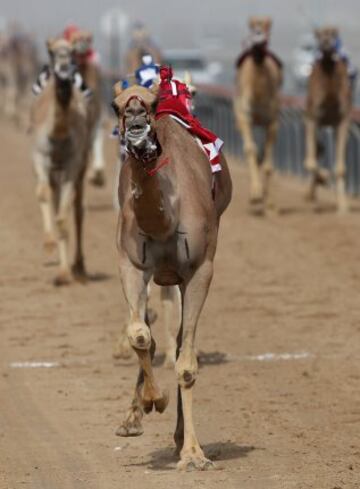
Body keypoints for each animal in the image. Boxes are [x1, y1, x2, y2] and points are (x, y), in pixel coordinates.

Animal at [111, 77, 232, 468]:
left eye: (151, 103)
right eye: (115, 105)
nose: (136, 123)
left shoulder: (199, 270)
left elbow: (187, 365)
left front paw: (193, 454)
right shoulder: (131, 264)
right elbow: (139, 335)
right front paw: (152, 401)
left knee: (181, 343)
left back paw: (180, 439)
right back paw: (135, 418)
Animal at [233, 16, 284, 212]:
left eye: (269, 28)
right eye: (252, 26)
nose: (257, 36)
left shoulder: (272, 121)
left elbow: (268, 164)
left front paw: (268, 201)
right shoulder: (245, 116)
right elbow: (250, 149)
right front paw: (255, 195)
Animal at [304, 25, 352, 211]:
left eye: (333, 33)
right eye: (319, 35)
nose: (326, 43)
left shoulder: (342, 120)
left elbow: (341, 167)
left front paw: (343, 206)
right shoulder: (313, 118)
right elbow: (310, 162)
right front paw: (323, 178)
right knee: (317, 150)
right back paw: (311, 195)